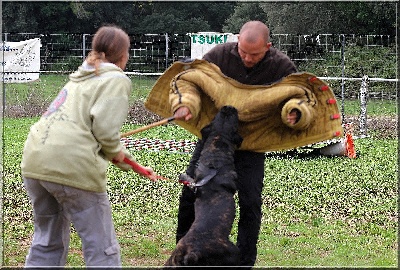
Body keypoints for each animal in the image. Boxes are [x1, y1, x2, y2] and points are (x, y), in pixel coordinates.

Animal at [163, 105, 244, 266]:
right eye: (234, 120)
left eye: (218, 115)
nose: (228, 107)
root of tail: (190, 253)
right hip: (232, 253)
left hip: (172, 259)